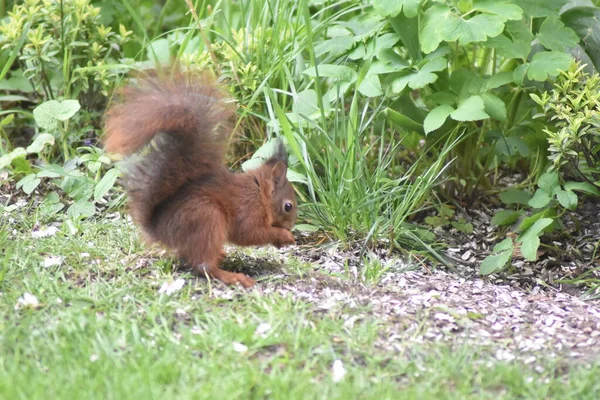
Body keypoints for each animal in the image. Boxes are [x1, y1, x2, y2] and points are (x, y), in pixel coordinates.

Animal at [106, 72, 298, 288]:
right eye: (288, 206)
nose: (291, 226)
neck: (258, 193)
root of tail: (158, 229)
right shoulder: (248, 210)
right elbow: (250, 233)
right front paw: (284, 236)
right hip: (207, 218)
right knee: (204, 265)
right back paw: (233, 277)